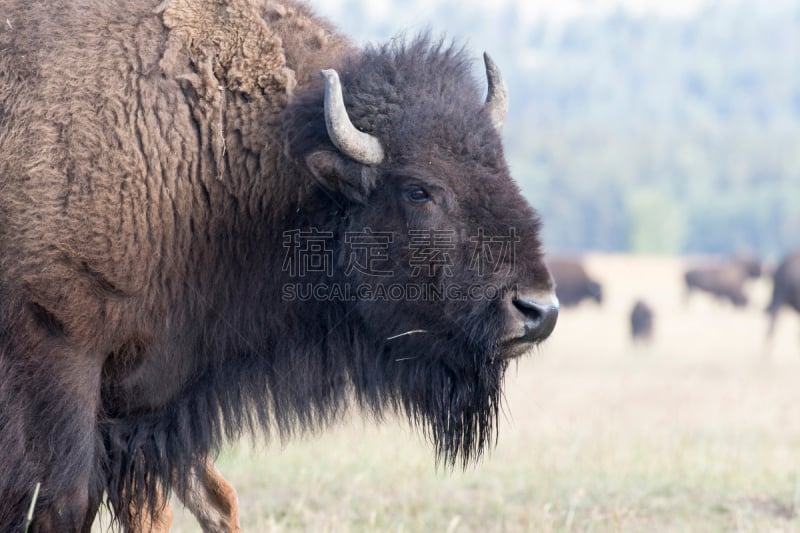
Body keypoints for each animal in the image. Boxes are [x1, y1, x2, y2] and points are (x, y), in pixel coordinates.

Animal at [0, 0, 556, 524]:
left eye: (499, 165)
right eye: (419, 190)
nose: (538, 310)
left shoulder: (142, 406)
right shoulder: (60, 355)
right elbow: (61, 501)